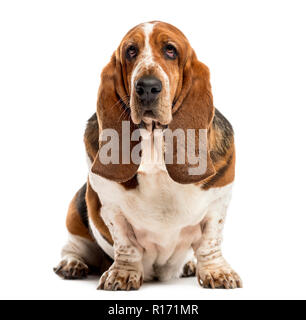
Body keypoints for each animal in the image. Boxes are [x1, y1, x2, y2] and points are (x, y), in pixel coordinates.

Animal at [53, 20, 243, 290]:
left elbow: (210, 242)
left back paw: (188, 264)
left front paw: (217, 273)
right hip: (76, 210)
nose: (148, 87)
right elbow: (126, 244)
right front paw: (122, 274)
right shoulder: (111, 206)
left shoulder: (218, 201)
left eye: (171, 50)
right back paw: (71, 264)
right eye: (131, 51)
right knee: (73, 245)